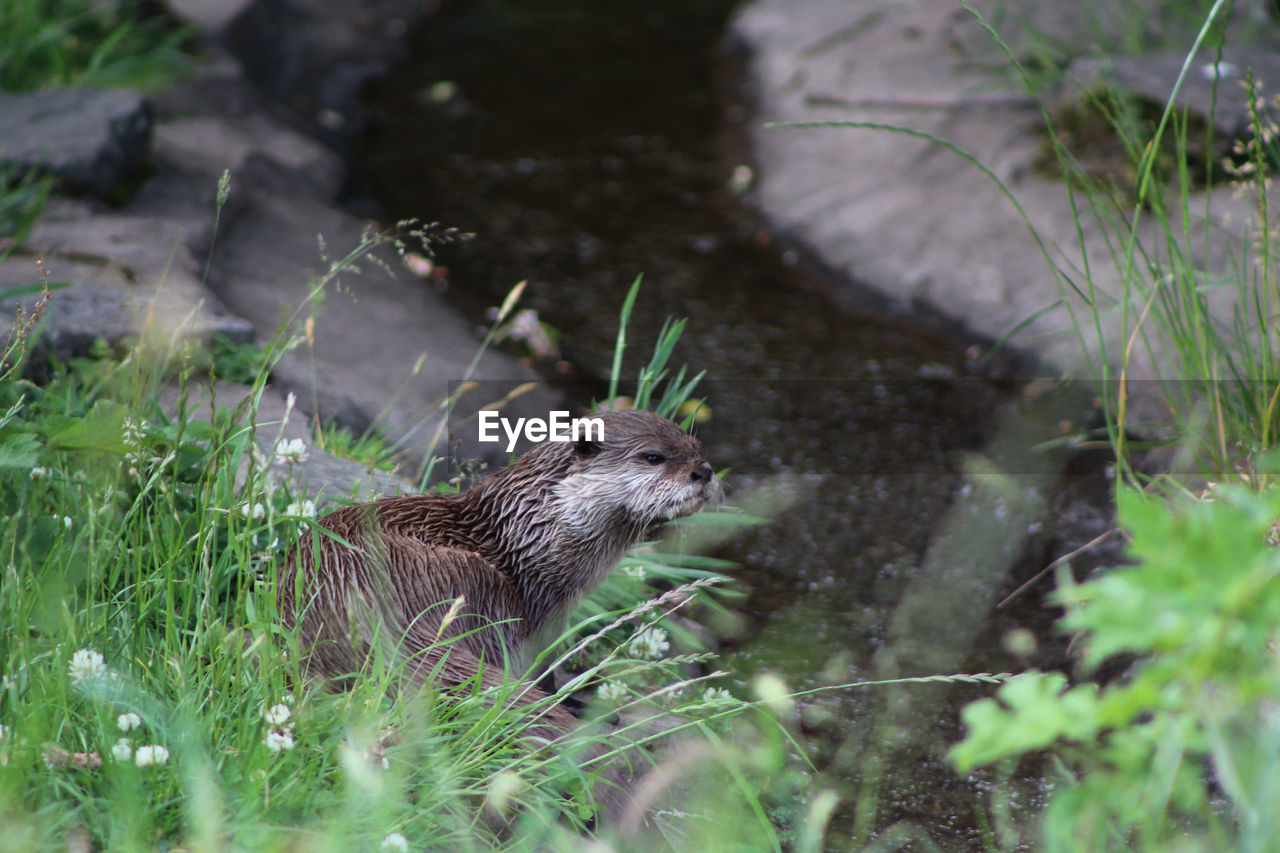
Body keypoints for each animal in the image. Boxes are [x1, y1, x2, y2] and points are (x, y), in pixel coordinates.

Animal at [280, 409, 721, 727]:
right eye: (653, 457)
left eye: (696, 446)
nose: (703, 471)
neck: (529, 537)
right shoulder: (540, 608)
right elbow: (540, 665)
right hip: (479, 584)